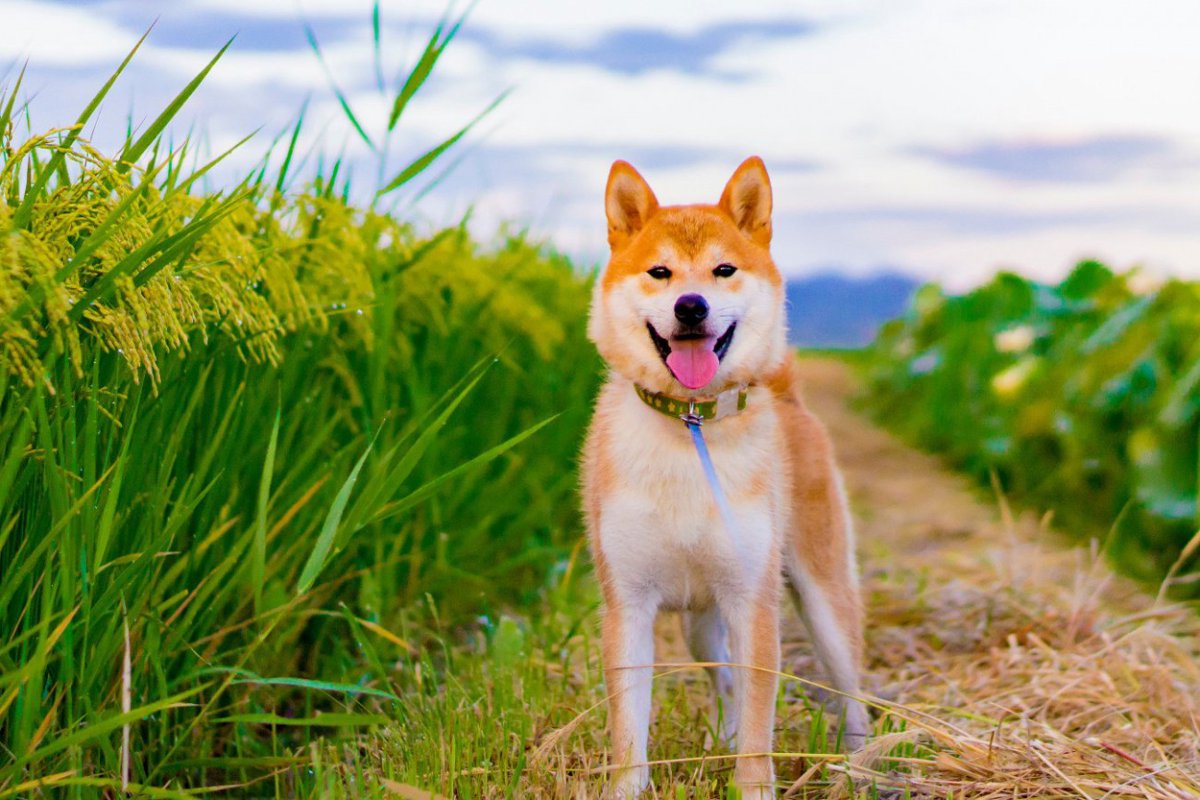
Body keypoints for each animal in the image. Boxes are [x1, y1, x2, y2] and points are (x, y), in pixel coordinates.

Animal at [578, 158, 864, 800]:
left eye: (724, 269)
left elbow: (760, 730)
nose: (691, 306)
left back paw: (866, 766)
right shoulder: (628, 605)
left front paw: (751, 783)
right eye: (660, 271)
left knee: (854, 693)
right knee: (726, 684)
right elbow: (629, 733)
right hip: (700, 626)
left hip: (822, 596)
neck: (690, 423)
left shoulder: (751, 602)